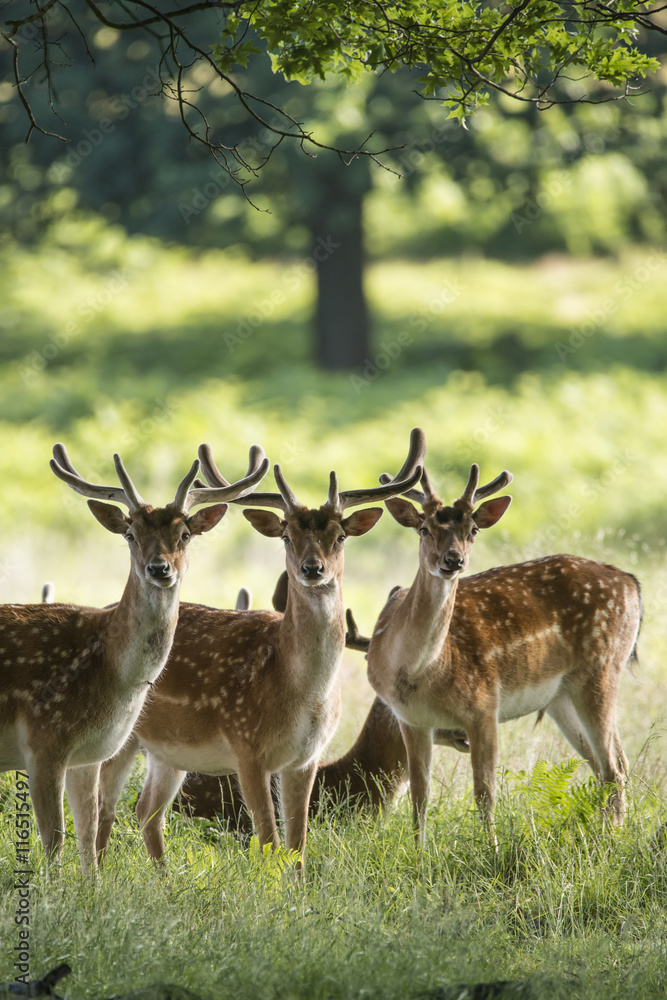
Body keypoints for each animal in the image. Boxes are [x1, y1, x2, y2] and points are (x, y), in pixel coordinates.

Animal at [0, 442, 269, 870]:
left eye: (185, 534)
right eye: (130, 533)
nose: (159, 568)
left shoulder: (87, 754)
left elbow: (88, 833)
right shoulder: (43, 740)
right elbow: (54, 840)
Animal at [95, 431, 426, 867]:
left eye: (340, 537)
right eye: (287, 536)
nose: (312, 568)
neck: (301, 692)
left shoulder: (305, 759)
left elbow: (298, 845)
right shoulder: (247, 748)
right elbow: (269, 842)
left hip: (169, 752)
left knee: (147, 810)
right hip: (122, 735)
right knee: (105, 805)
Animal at [366, 454, 642, 844]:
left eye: (473, 530)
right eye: (424, 529)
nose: (453, 560)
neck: (420, 672)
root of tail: (632, 583)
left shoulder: (483, 704)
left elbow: (484, 791)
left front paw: (491, 849)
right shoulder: (411, 718)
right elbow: (419, 795)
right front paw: (419, 852)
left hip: (603, 668)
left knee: (613, 767)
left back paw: (610, 842)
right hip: (562, 695)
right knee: (612, 764)